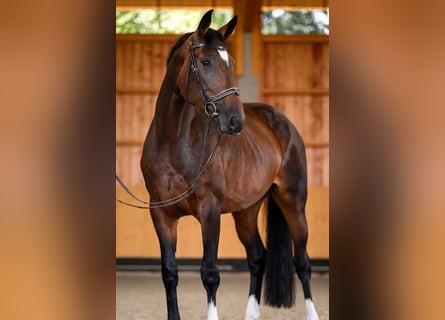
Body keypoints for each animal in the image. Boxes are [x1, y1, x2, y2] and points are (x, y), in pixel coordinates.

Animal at [140, 10, 318, 320]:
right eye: (206, 62)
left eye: (231, 62)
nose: (236, 121)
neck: (175, 144)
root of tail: (282, 123)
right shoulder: (160, 213)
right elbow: (169, 272)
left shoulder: (209, 210)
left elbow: (210, 274)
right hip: (246, 210)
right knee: (258, 257)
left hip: (293, 203)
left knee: (303, 262)